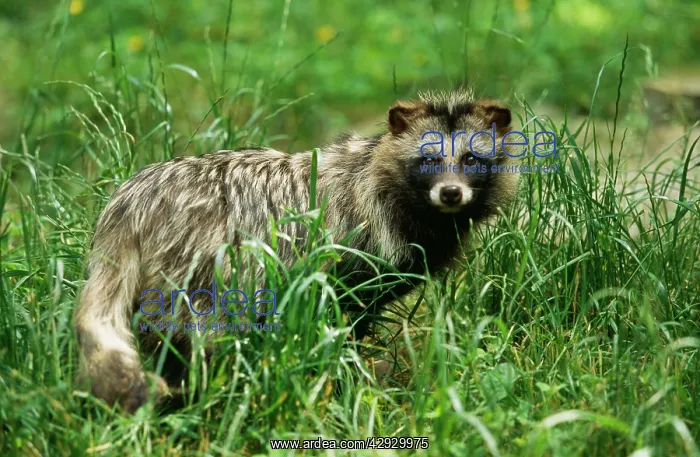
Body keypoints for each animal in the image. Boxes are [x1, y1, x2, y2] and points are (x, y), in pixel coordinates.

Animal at [74, 88, 520, 413]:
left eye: (471, 159)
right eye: (428, 159)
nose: (450, 193)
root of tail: (132, 202)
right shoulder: (351, 251)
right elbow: (341, 317)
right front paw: (349, 373)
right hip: (204, 261)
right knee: (201, 330)